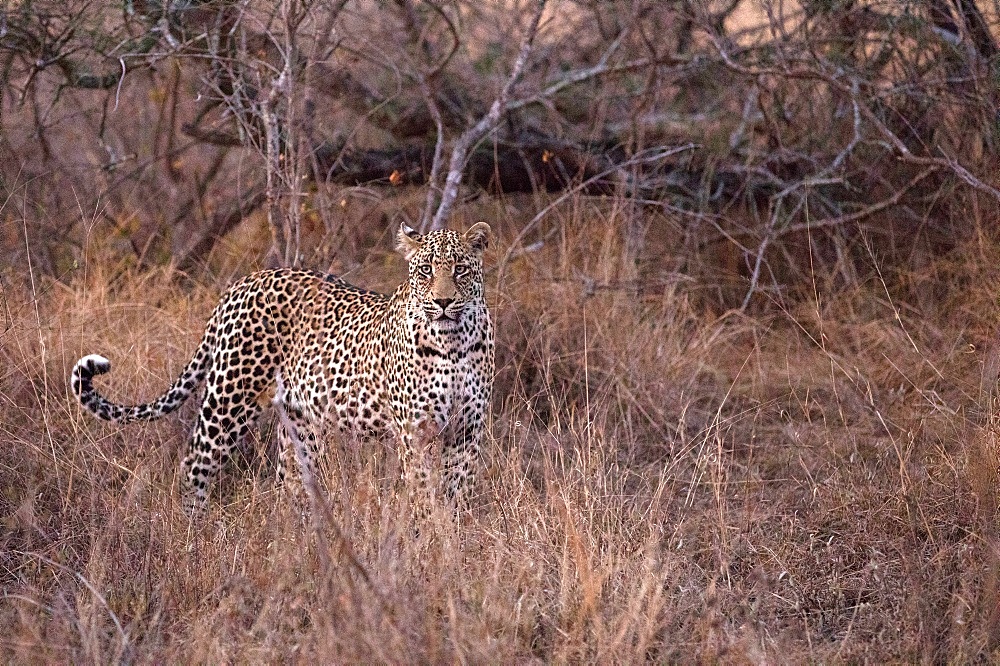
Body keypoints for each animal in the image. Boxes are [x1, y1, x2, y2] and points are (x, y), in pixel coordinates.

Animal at [69, 223, 492, 512]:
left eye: (460, 269)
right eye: (425, 270)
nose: (442, 302)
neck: (453, 343)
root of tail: (244, 281)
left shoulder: (467, 430)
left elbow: (456, 492)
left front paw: (451, 543)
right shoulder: (413, 431)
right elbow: (423, 494)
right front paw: (428, 543)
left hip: (299, 421)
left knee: (289, 477)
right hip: (229, 398)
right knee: (194, 463)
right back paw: (192, 536)